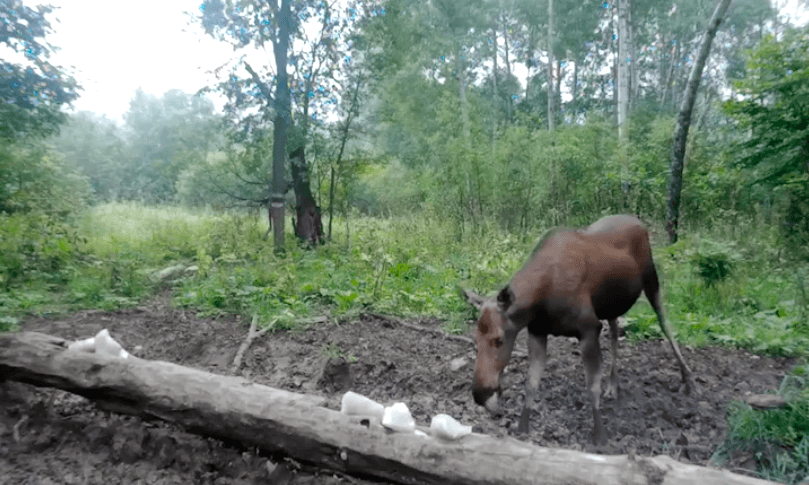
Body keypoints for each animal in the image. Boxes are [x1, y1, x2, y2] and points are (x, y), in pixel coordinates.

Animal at [464, 215, 696, 442]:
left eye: (499, 339)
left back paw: (687, 378)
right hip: (610, 305)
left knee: (665, 324)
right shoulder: (537, 332)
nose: (479, 393)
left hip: (651, 279)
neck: (541, 301)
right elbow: (531, 383)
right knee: (615, 332)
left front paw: (600, 436)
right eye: (476, 339)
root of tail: (639, 221)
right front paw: (522, 428)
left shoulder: (589, 329)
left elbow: (591, 387)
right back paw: (613, 385)